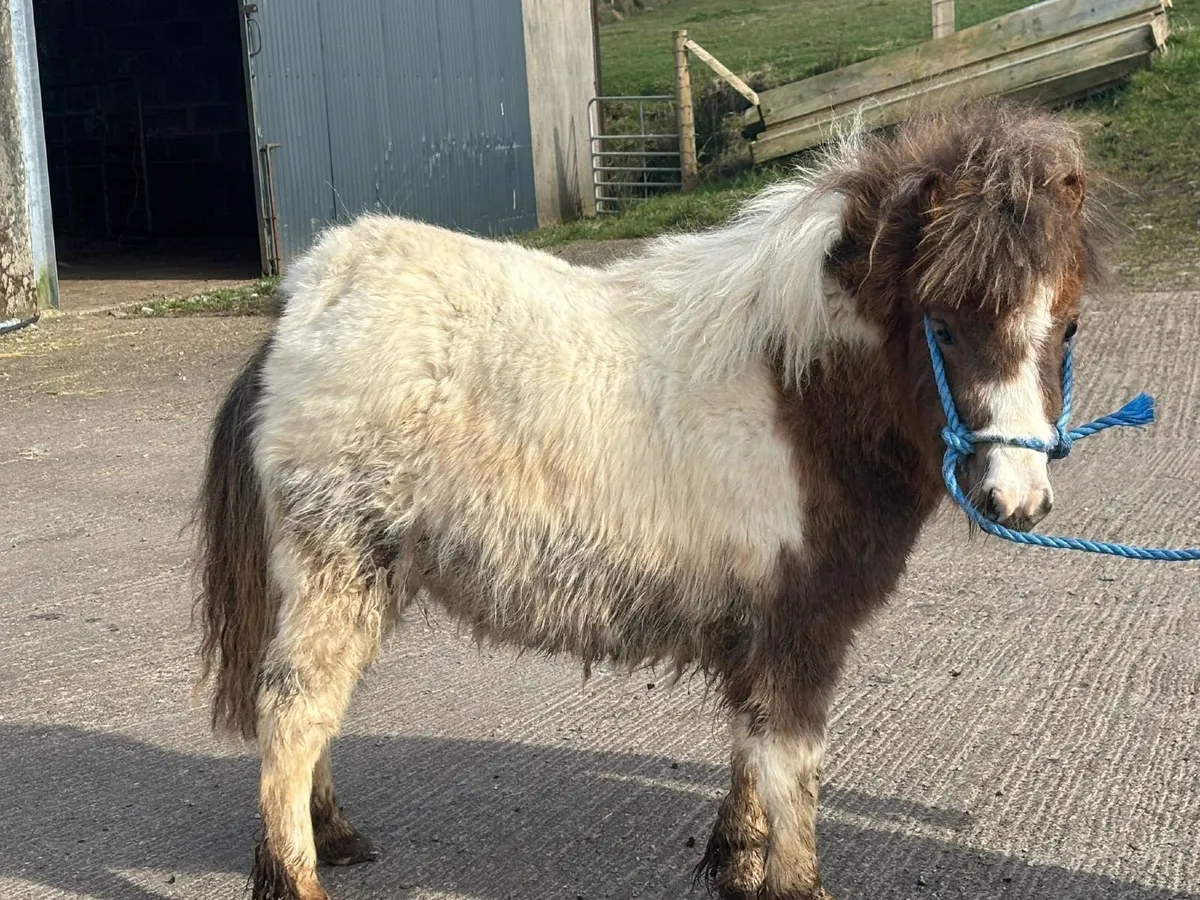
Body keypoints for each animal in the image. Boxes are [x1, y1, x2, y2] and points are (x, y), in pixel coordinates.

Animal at [196, 100, 1100, 900]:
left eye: (1068, 324)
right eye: (941, 324)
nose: (1016, 500)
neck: (797, 393)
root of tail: (299, 309)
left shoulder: (759, 629)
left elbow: (752, 751)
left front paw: (736, 862)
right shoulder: (798, 628)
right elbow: (793, 771)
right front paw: (787, 881)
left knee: (314, 708)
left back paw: (337, 836)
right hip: (336, 566)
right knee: (294, 709)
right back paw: (299, 872)